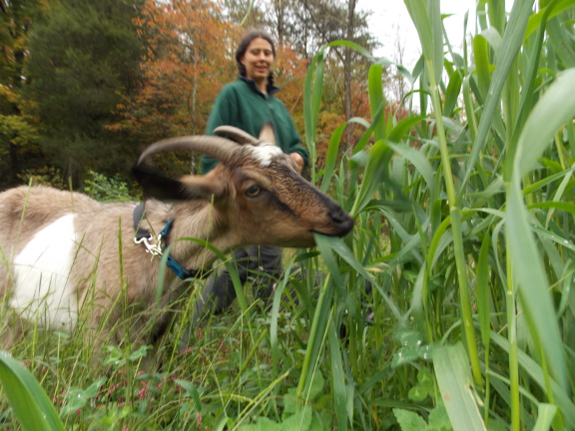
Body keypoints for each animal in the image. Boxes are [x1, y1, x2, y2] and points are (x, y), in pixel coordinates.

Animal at [0, 124, 356, 352]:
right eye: (253, 188)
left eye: (294, 169)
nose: (342, 219)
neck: (158, 249)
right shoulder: (97, 333)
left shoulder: (155, 336)